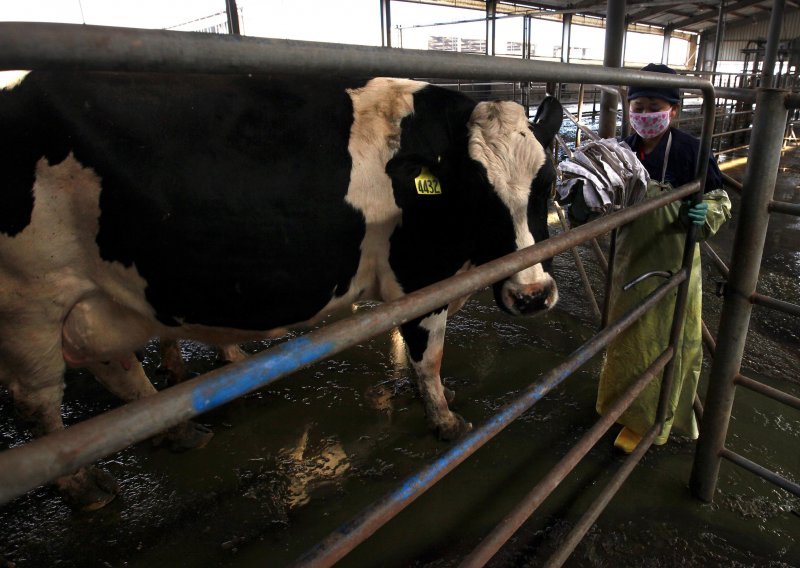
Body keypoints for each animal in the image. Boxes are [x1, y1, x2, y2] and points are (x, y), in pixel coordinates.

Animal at [0, 72, 564, 510]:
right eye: (478, 194)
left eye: (547, 185)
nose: (533, 295)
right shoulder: (420, 278)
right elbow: (429, 356)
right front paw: (444, 419)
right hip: (31, 301)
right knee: (39, 400)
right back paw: (83, 486)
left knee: (113, 365)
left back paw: (177, 429)